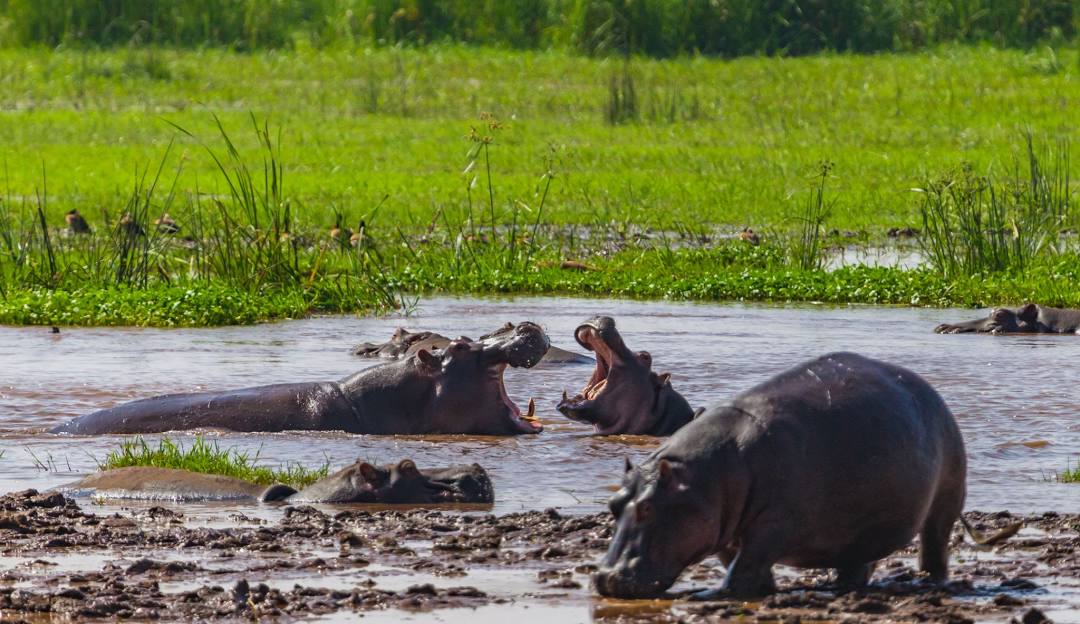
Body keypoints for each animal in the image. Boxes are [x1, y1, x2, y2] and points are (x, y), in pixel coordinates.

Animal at [596, 349, 1015, 595]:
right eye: (614, 505)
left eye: (648, 508)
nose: (604, 577)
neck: (702, 477)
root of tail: (932, 393)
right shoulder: (725, 526)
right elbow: (740, 562)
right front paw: (760, 589)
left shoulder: (774, 524)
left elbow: (745, 564)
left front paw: (714, 593)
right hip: (860, 526)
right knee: (857, 561)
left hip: (944, 505)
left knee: (934, 547)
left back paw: (930, 580)